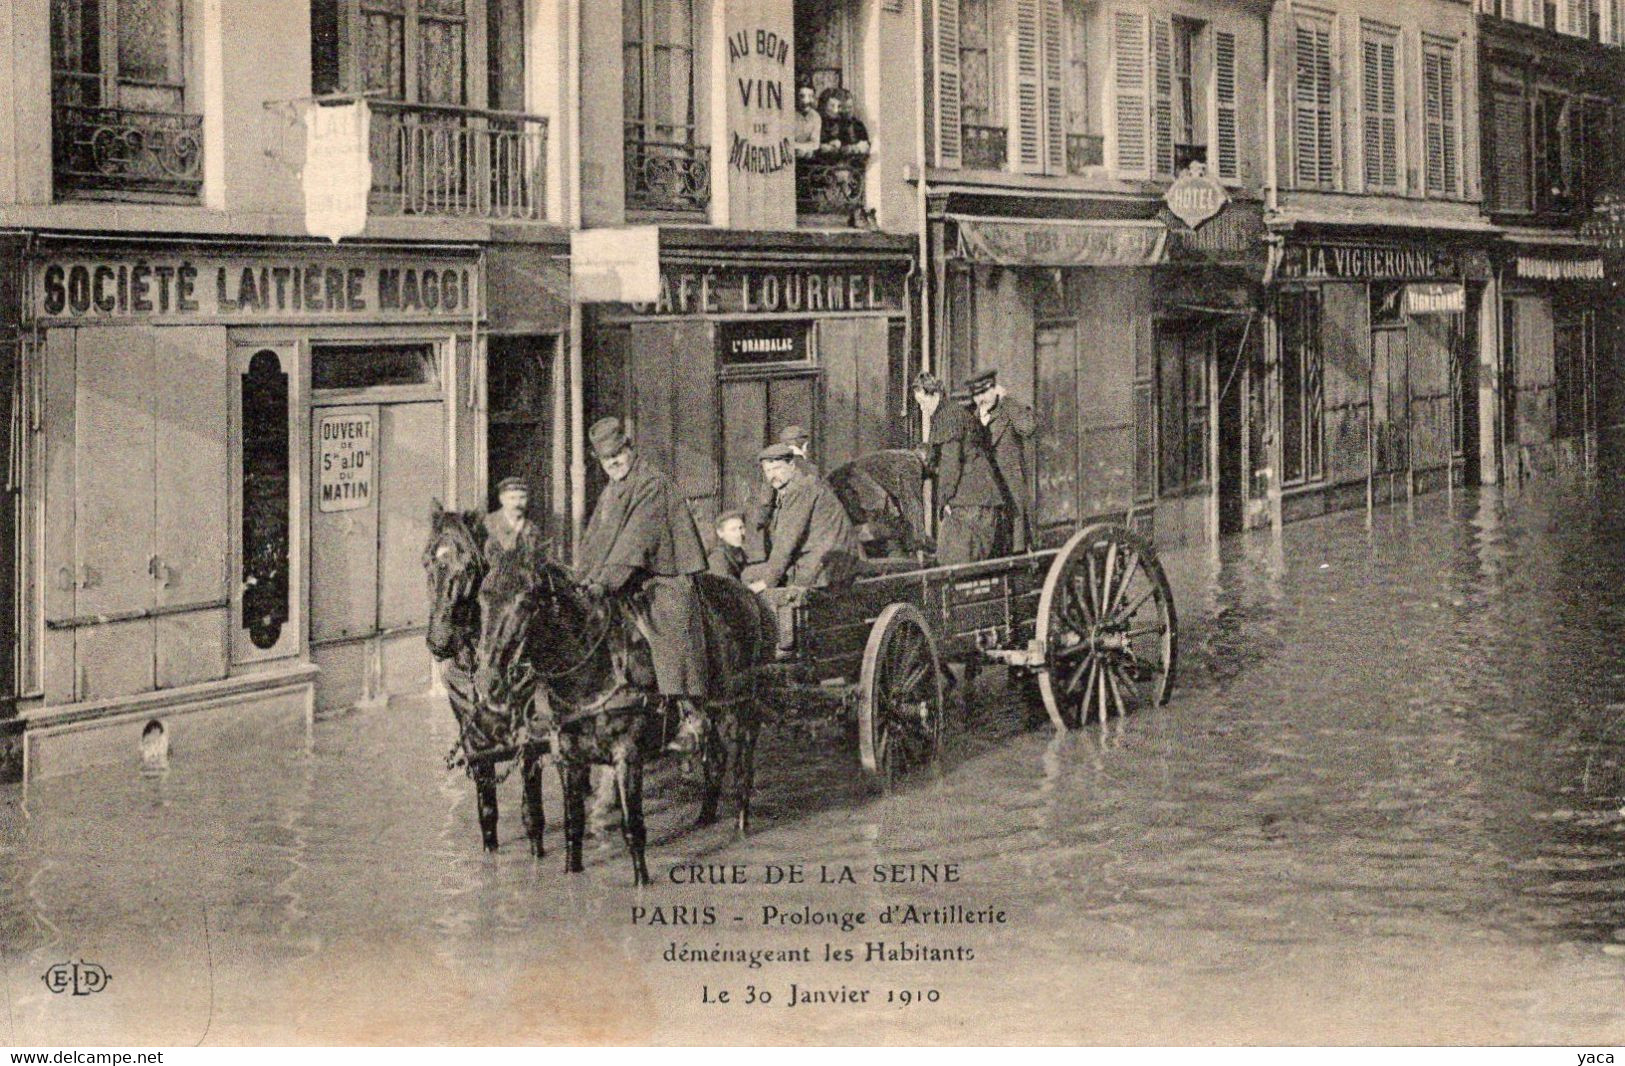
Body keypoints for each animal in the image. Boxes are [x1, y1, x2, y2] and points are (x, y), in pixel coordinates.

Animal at [422, 503, 549, 864]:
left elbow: (533, 814)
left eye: (469, 566)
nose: (439, 642)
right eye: (427, 561)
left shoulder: (531, 737)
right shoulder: (474, 740)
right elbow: (488, 813)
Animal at [474, 549, 770, 884]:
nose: (486, 682)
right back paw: (705, 818)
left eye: (525, 601)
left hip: (739, 711)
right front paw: (571, 871)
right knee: (716, 760)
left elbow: (633, 826)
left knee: (742, 770)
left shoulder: (627, 756)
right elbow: (573, 823)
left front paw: (642, 880)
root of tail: (747, 594)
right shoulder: (569, 759)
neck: (593, 669)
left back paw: (741, 826)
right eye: (482, 599)